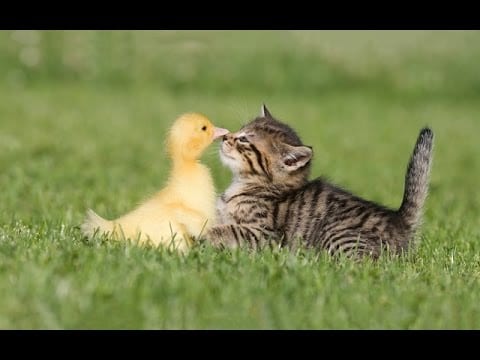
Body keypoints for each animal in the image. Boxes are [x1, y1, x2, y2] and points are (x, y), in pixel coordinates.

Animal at [206, 104, 436, 258]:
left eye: (244, 139)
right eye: (239, 130)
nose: (225, 137)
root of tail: (399, 220)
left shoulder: (265, 236)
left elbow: (224, 230)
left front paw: (203, 236)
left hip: (337, 236)